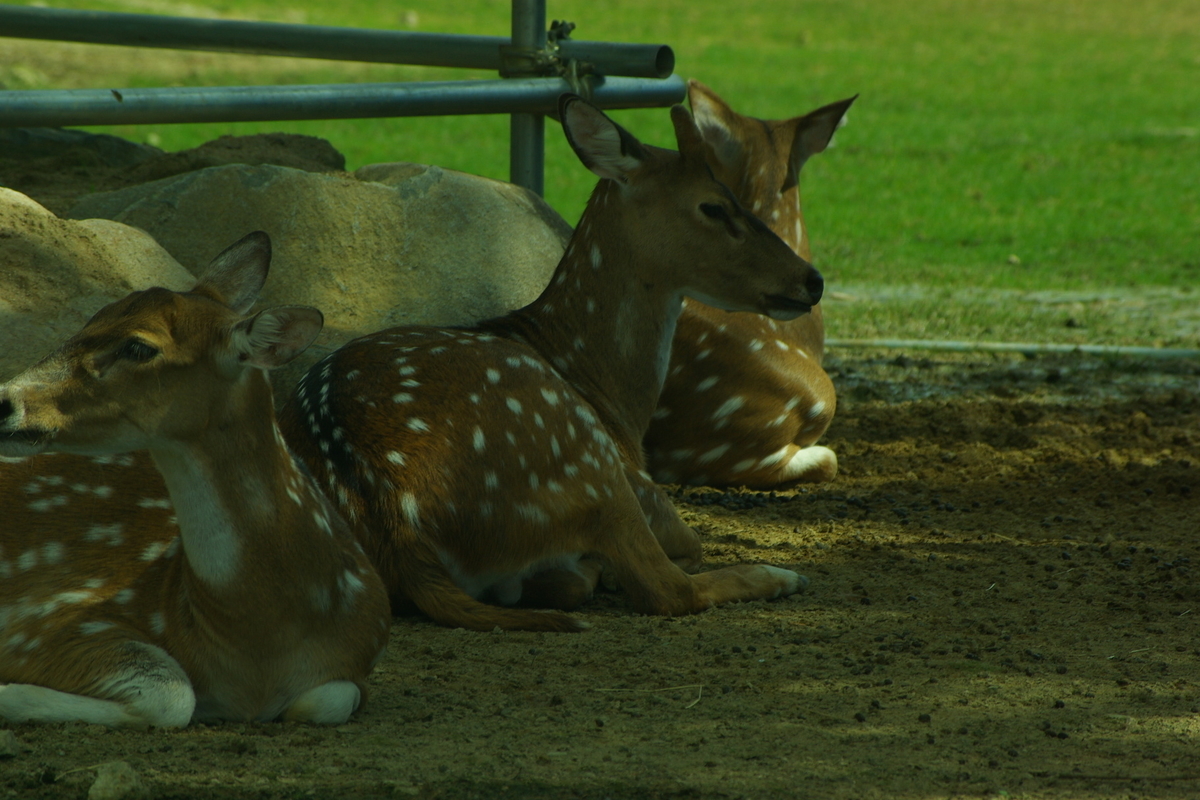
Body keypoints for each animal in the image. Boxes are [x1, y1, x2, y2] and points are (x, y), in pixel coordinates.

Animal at [0, 232, 388, 734]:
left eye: (139, 347)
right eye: (92, 317)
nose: (4, 401)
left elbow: (327, 700)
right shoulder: (44, 619)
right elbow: (174, 696)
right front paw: (8, 694)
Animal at [278, 94, 825, 633]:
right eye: (713, 205)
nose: (811, 279)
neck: (612, 397)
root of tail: (396, 520)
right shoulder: (648, 492)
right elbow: (687, 548)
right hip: (581, 452)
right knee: (667, 589)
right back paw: (779, 575)